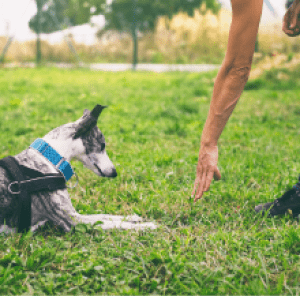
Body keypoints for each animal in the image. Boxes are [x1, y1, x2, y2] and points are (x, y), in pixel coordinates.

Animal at [0, 105, 158, 234]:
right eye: (102, 145)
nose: (114, 173)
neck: (50, 157)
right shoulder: (72, 220)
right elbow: (115, 224)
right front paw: (147, 226)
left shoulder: (77, 215)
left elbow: (105, 216)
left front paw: (132, 217)